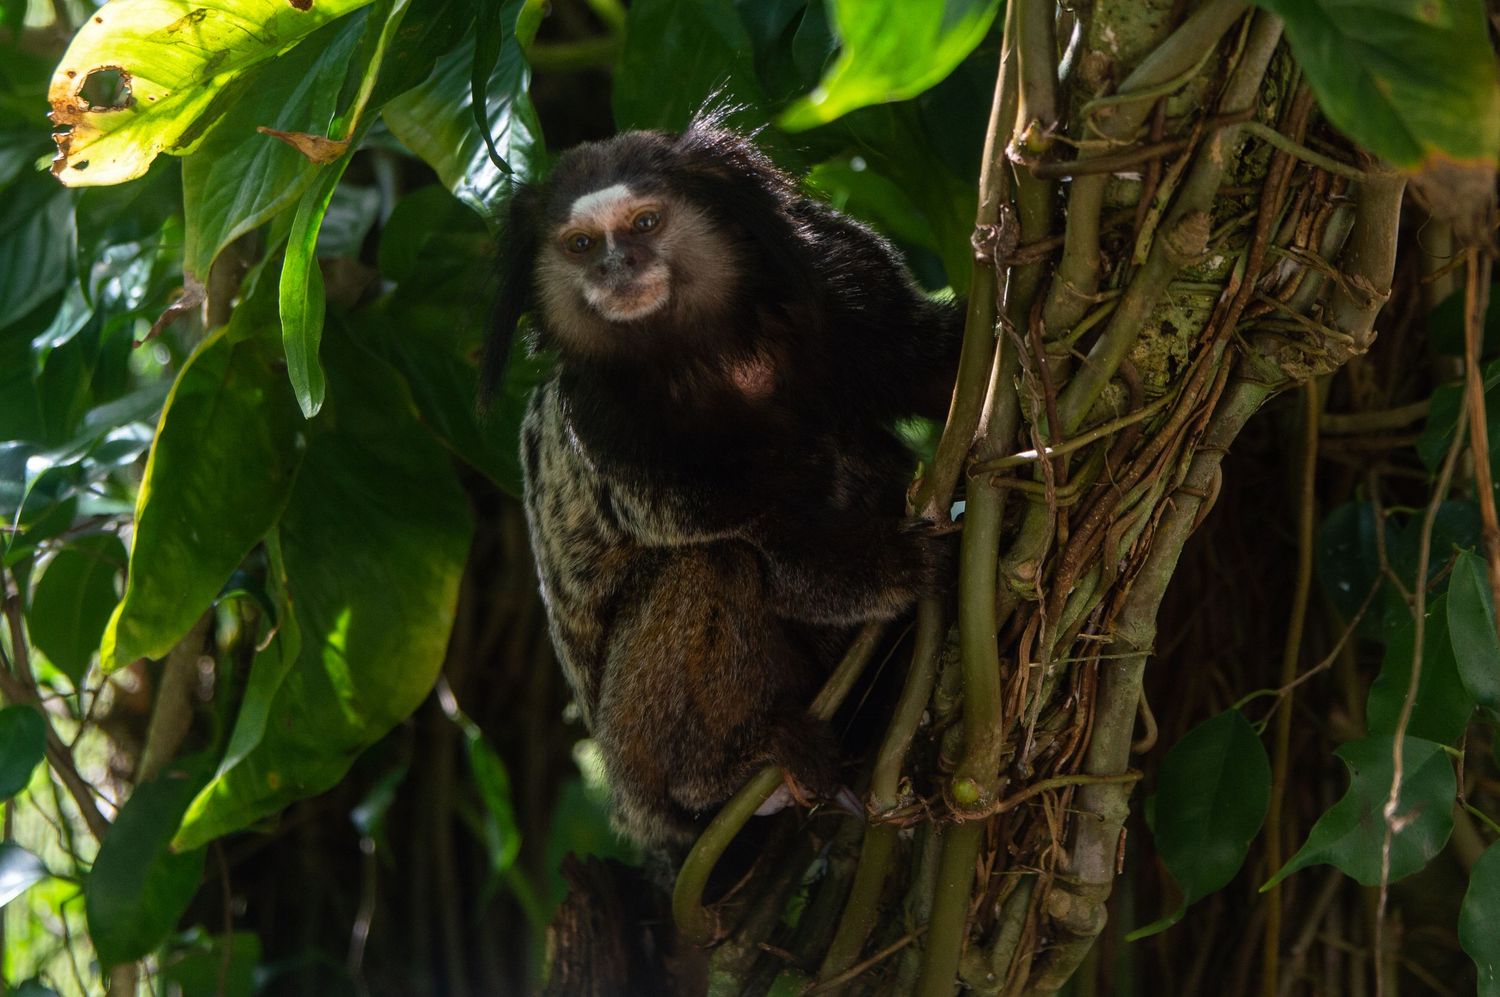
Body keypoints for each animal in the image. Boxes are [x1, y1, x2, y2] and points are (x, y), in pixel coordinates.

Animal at [485, 114, 965, 847]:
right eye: (581, 244)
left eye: (646, 222)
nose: (614, 268)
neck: (711, 349)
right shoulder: (606, 425)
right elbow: (772, 544)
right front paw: (910, 565)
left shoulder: (839, 274)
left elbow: (933, 364)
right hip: (632, 750)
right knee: (710, 566)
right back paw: (737, 768)